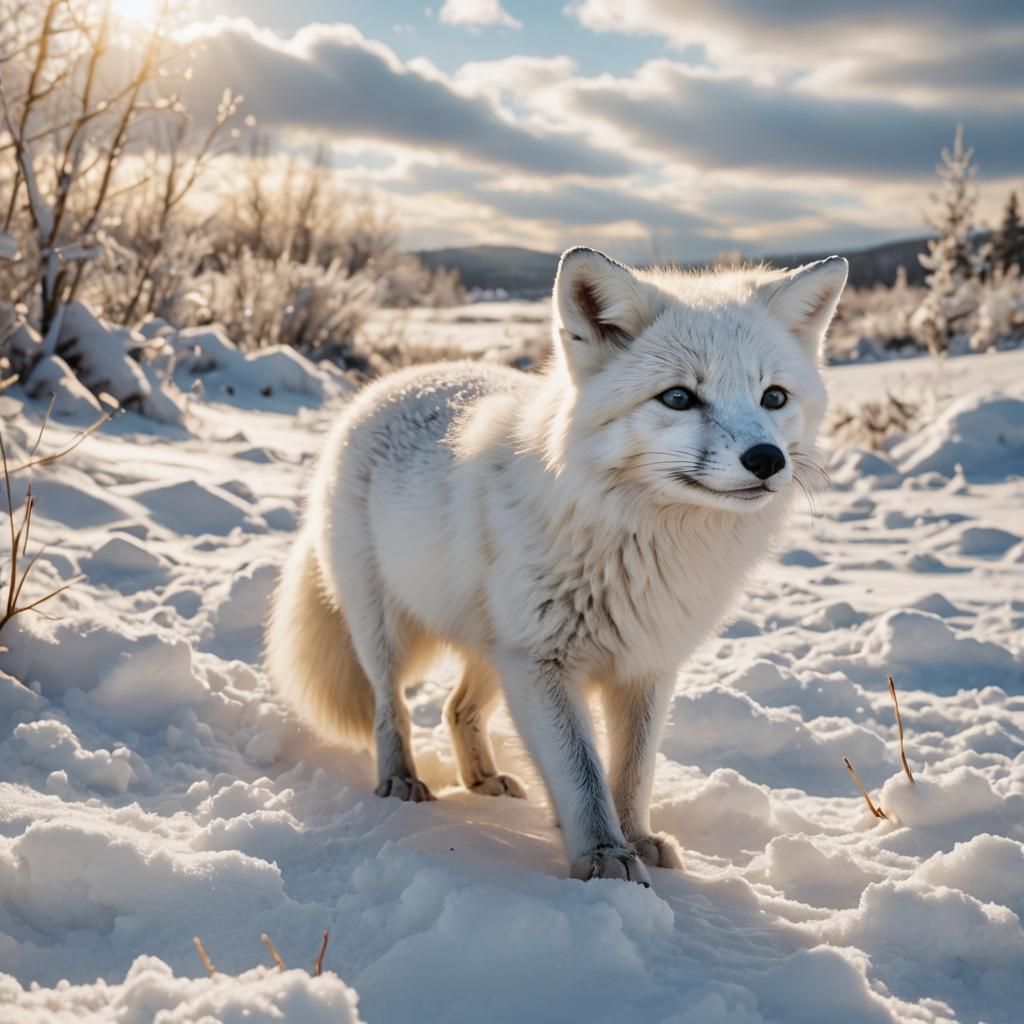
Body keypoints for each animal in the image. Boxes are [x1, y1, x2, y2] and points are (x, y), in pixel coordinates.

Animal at [266, 246, 847, 885]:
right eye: (678, 397)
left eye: (774, 397)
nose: (768, 460)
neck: (642, 544)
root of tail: (385, 385)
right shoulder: (542, 664)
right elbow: (582, 776)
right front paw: (604, 859)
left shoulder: (645, 664)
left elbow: (633, 772)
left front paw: (637, 840)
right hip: (387, 631)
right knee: (389, 707)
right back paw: (401, 781)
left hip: (492, 652)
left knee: (455, 708)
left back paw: (482, 780)